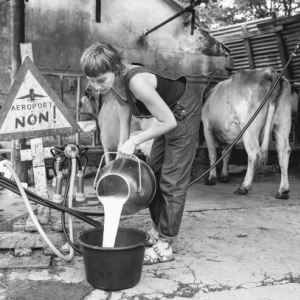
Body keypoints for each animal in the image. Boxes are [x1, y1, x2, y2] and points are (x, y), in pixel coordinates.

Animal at [200, 67, 296, 199]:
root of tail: (270, 72)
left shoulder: (207, 126)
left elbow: (212, 153)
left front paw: (211, 178)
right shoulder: (230, 135)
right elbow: (226, 154)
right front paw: (224, 176)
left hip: (250, 128)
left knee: (254, 154)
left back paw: (244, 187)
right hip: (282, 123)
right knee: (284, 151)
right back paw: (283, 191)